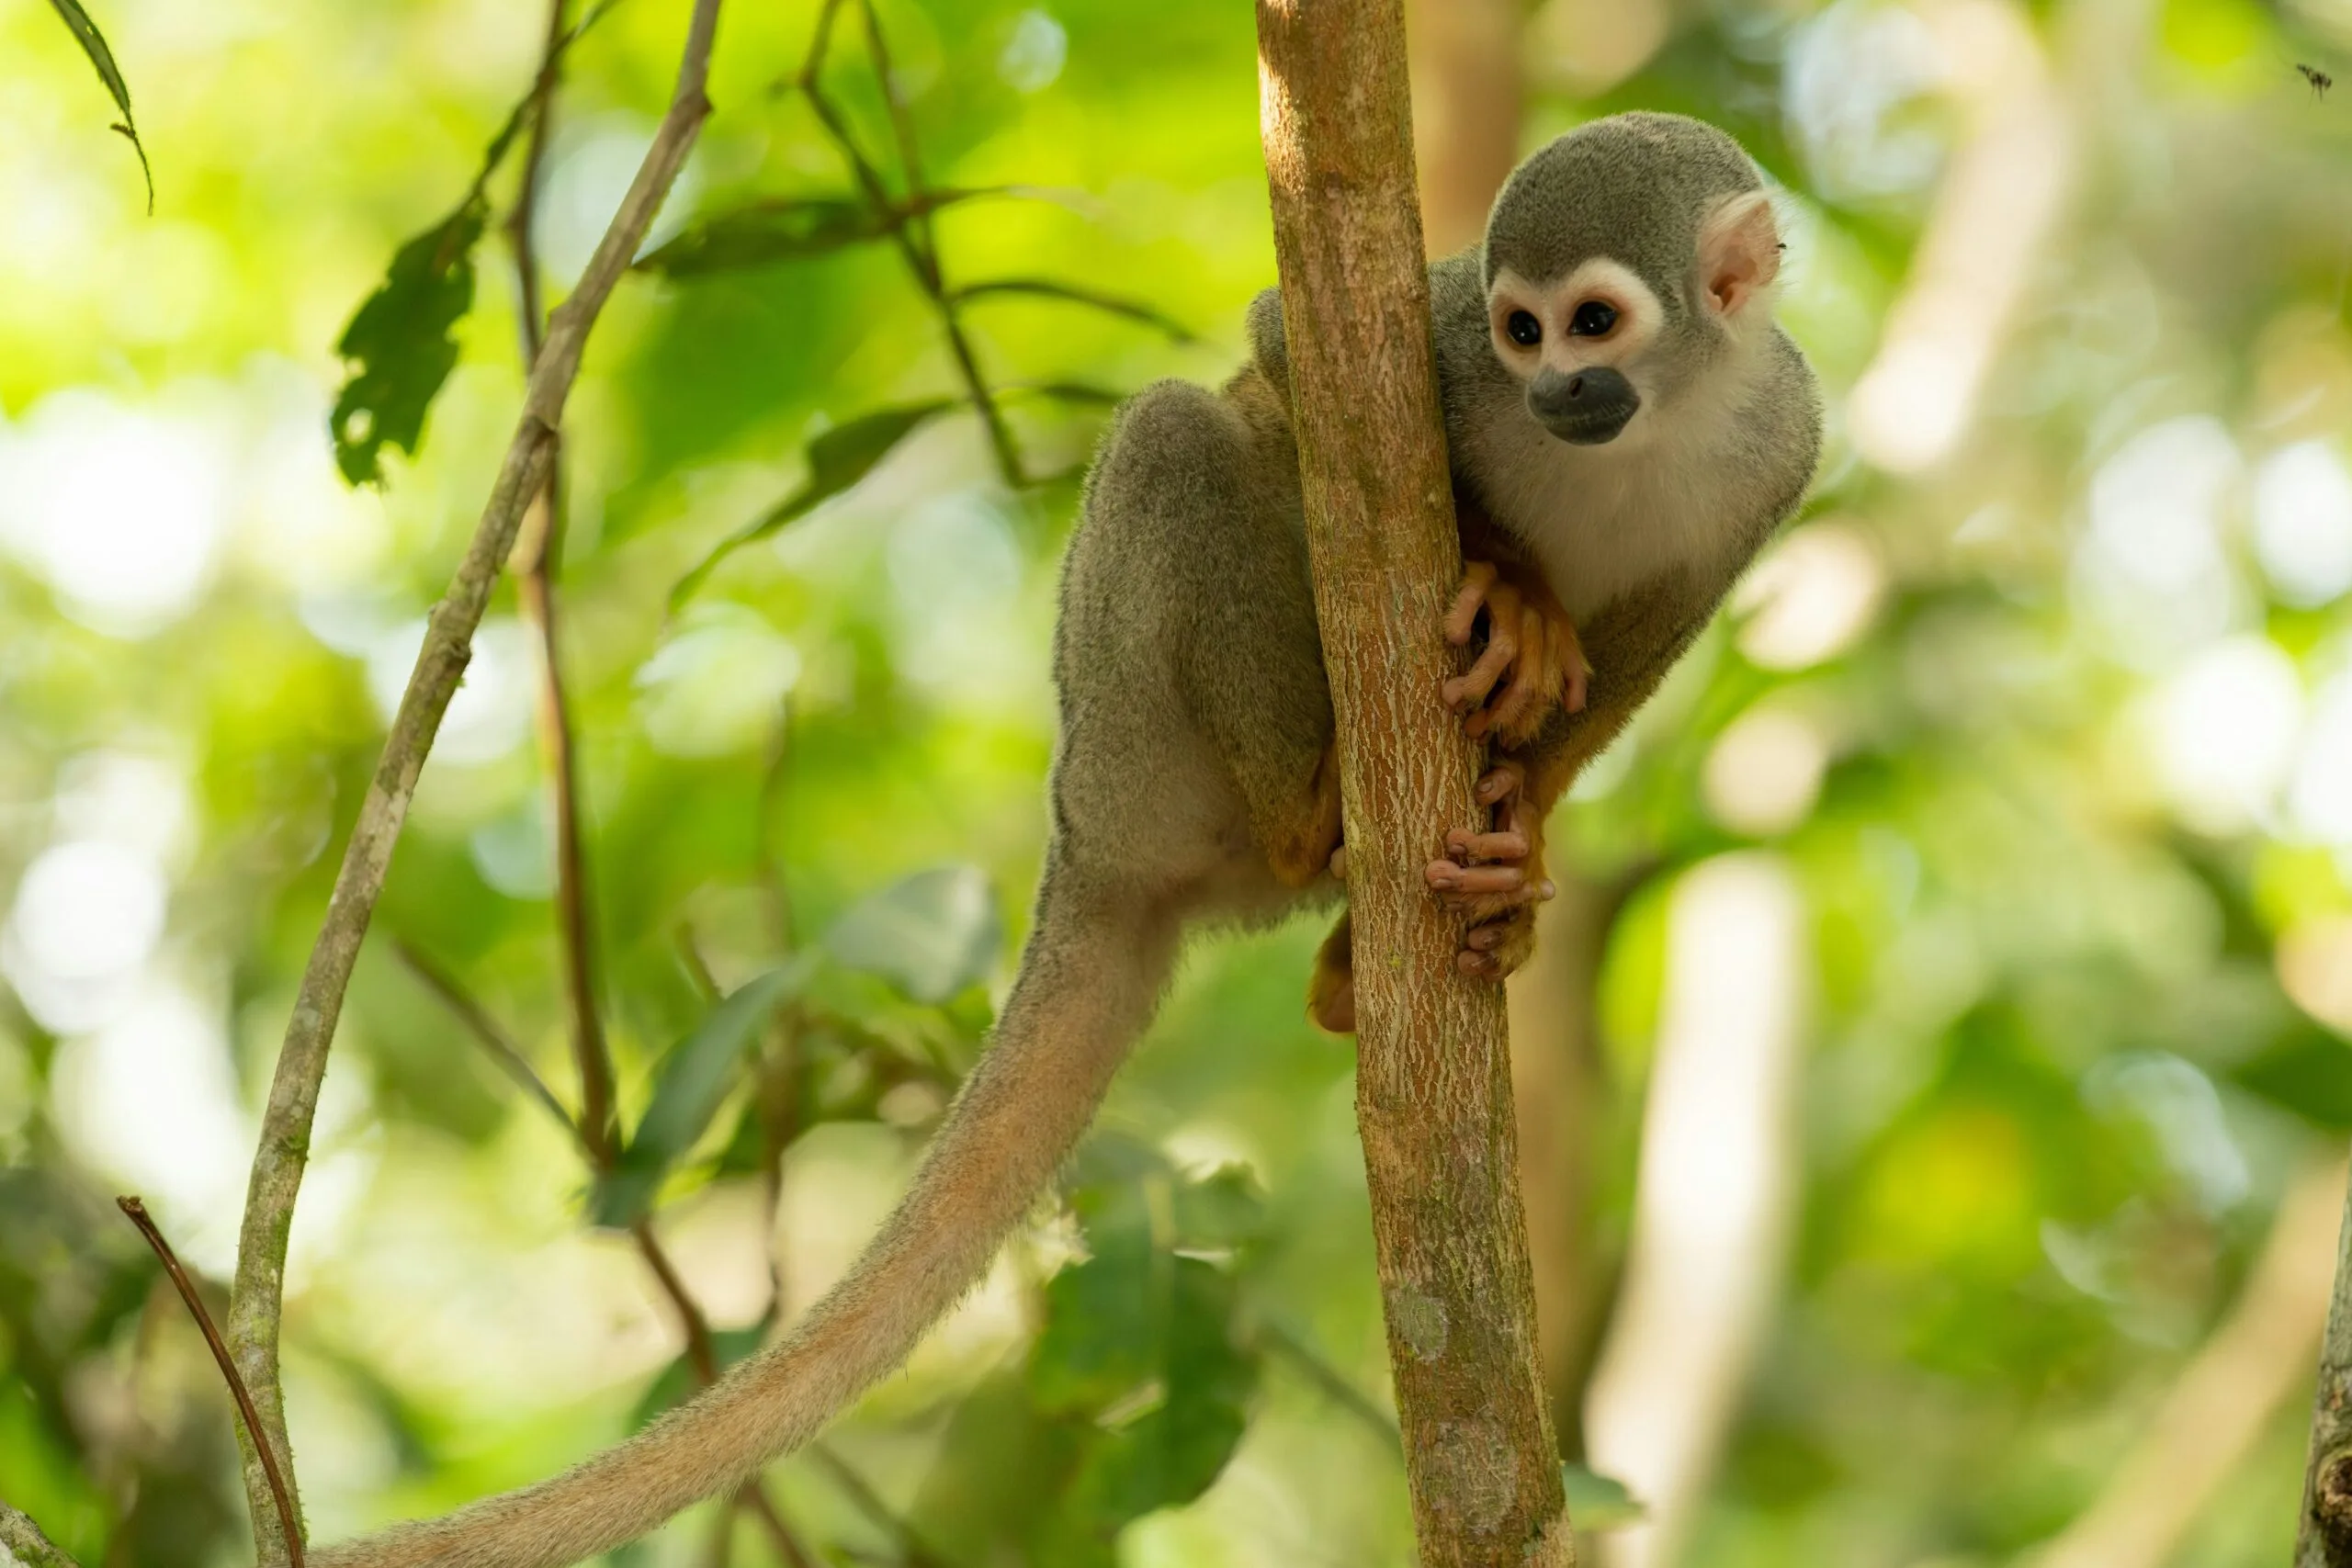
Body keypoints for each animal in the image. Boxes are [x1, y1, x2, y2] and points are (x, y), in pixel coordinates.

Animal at [311, 111, 1820, 1568]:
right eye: (1520, 329)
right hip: (1124, 734)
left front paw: (1526, 826)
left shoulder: (1781, 448)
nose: (1558, 393)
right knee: (1186, 436)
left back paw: (1379, 937)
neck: (1660, 420)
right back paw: (1313, 817)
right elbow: (1290, 357)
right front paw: (1513, 589)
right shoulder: (1441, 349)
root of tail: (1092, 848)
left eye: (1595, 323)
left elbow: (1667, 616)